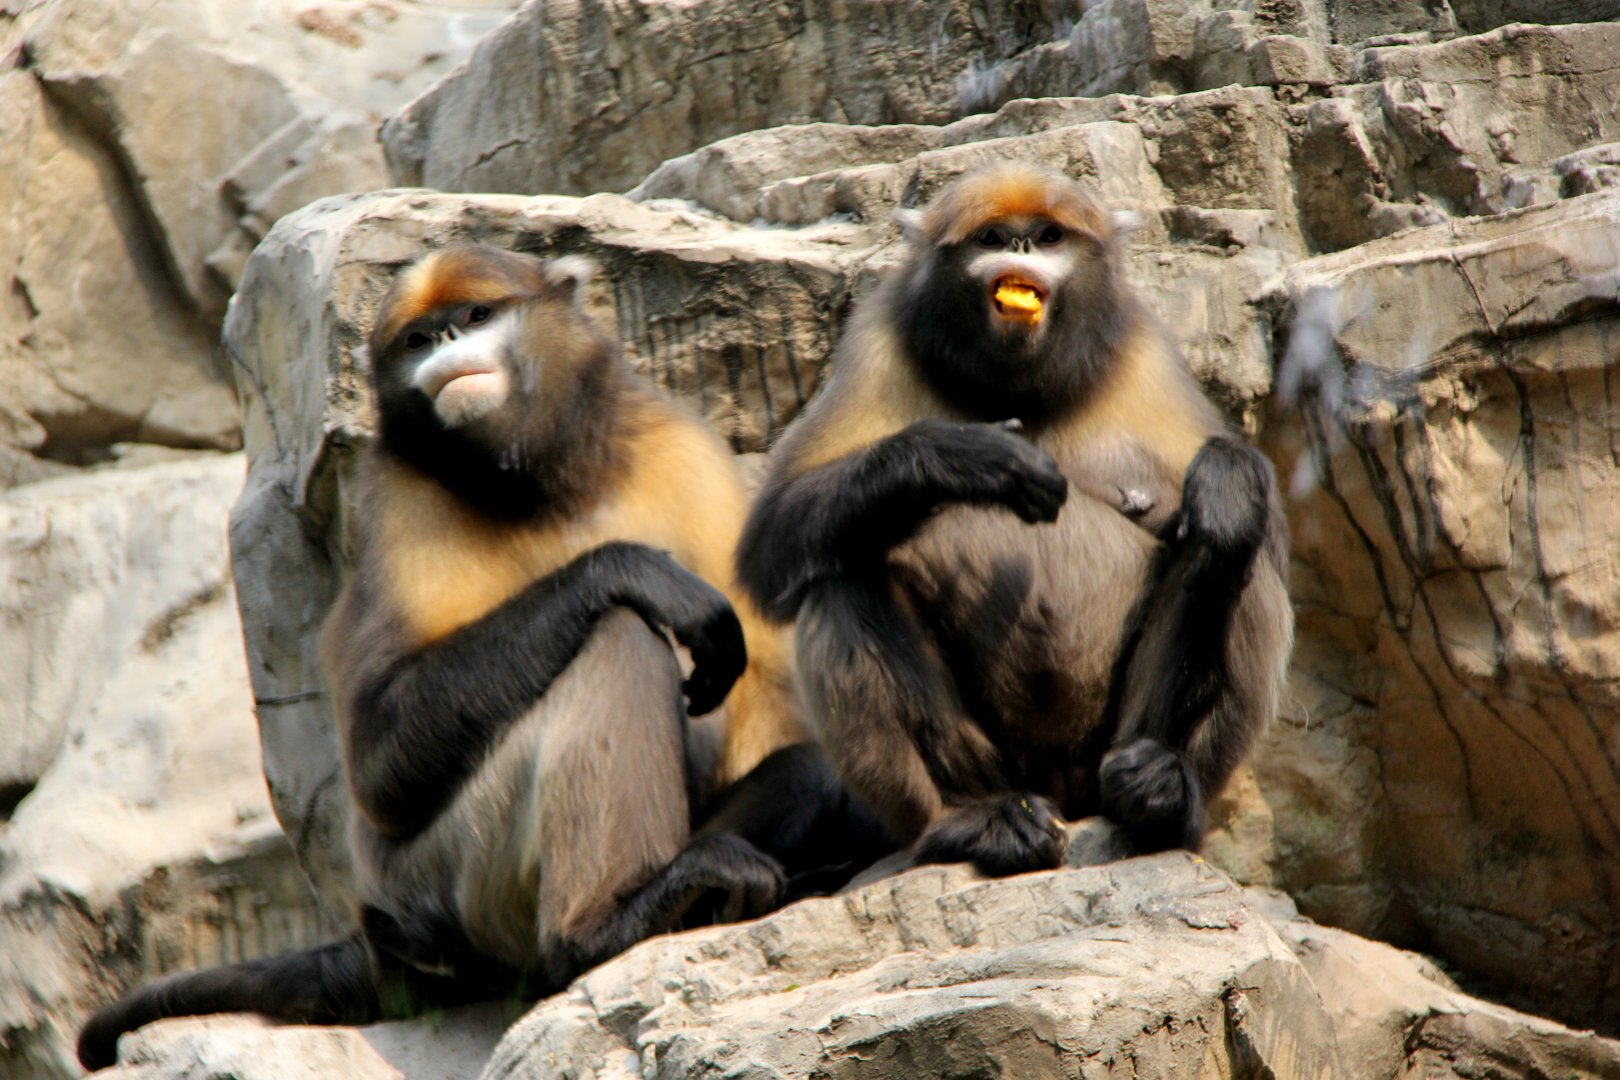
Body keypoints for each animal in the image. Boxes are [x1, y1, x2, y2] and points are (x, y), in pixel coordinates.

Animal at [77, 244, 884, 1071]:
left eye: (474, 317)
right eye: (418, 339)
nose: (444, 347)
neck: (540, 481)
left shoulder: (682, 449)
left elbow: (777, 711)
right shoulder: (400, 494)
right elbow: (380, 767)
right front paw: (627, 568)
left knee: (801, 766)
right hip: (449, 882)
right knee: (618, 634)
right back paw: (604, 925)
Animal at [736, 162, 1293, 878]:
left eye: (1050, 237)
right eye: (994, 238)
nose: (1023, 247)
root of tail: (1057, 789)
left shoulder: (1143, 349)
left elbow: (1258, 535)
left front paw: (1227, 482)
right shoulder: (881, 340)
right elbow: (771, 544)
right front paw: (962, 459)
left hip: (1104, 753)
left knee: (1239, 556)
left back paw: (1166, 792)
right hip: (998, 764)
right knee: (839, 574)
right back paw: (968, 821)